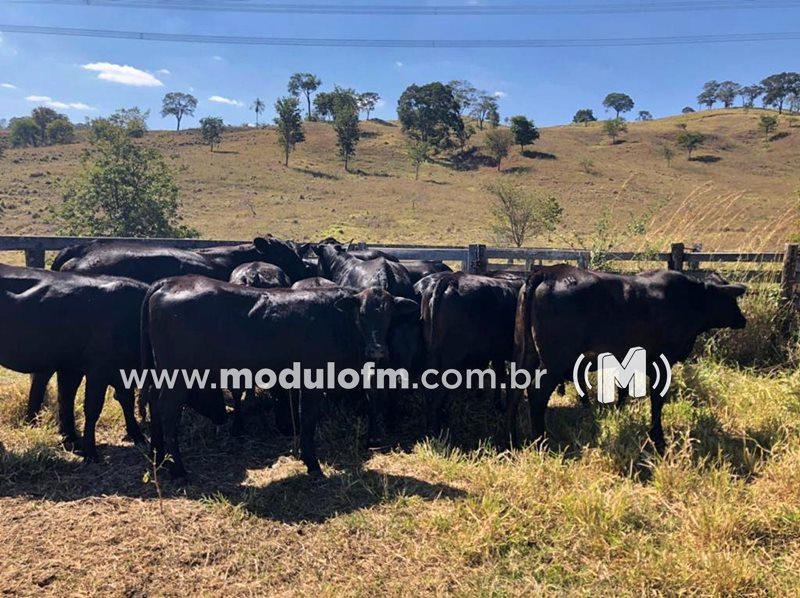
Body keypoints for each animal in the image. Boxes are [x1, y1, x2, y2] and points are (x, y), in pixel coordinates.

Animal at [142, 278, 418, 480]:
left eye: (389, 316)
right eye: (361, 314)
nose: (377, 352)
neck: (337, 320)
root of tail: (170, 282)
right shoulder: (313, 378)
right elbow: (307, 419)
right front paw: (313, 465)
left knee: (154, 404)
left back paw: (159, 457)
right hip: (178, 376)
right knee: (167, 412)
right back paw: (178, 469)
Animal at [412, 274, 524, 436]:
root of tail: (450, 278)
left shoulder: (497, 354)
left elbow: (499, 375)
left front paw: (497, 404)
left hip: (432, 354)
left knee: (429, 392)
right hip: (452, 359)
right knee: (438, 395)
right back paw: (437, 431)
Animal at [510, 268, 748, 450]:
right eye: (729, 298)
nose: (742, 319)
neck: (688, 299)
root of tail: (549, 272)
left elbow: (623, 389)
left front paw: (618, 414)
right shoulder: (662, 361)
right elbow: (657, 399)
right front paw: (657, 437)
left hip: (526, 353)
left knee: (517, 389)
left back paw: (516, 438)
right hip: (556, 361)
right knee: (536, 393)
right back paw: (540, 440)